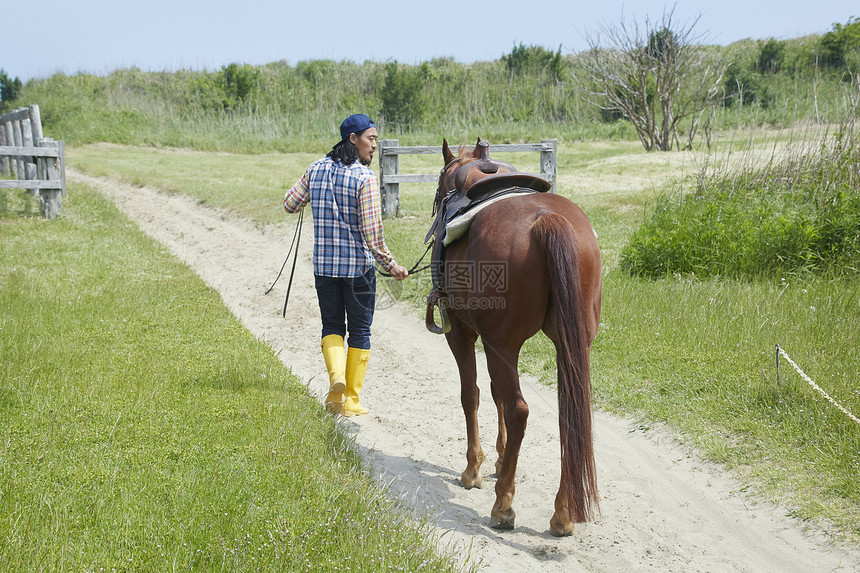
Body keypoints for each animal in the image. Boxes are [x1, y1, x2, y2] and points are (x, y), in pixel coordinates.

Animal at [430, 139, 604, 536]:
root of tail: (547, 220)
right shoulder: (501, 344)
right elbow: (495, 394)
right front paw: (498, 459)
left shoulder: (465, 334)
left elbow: (472, 394)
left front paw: (475, 469)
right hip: (570, 344)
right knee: (569, 413)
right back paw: (563, 513)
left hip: (499, 344)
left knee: (518, 410)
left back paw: (503, 506)